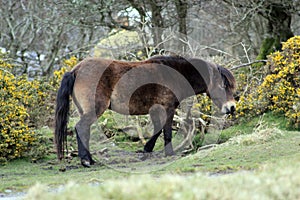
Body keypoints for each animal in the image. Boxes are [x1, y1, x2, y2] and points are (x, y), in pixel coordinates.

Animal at [55, 55, 236, 166]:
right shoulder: (168, 108)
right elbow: (166, 131)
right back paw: (86, 161)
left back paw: (89, 160)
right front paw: (168, 153)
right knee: (81, 128)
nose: (231, 107)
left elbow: (157, 130)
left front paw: (146, 150)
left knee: (84, 130)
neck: (174, 73)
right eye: (223, 86)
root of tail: (76, 70)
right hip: (94, 109)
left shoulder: (155, 110)